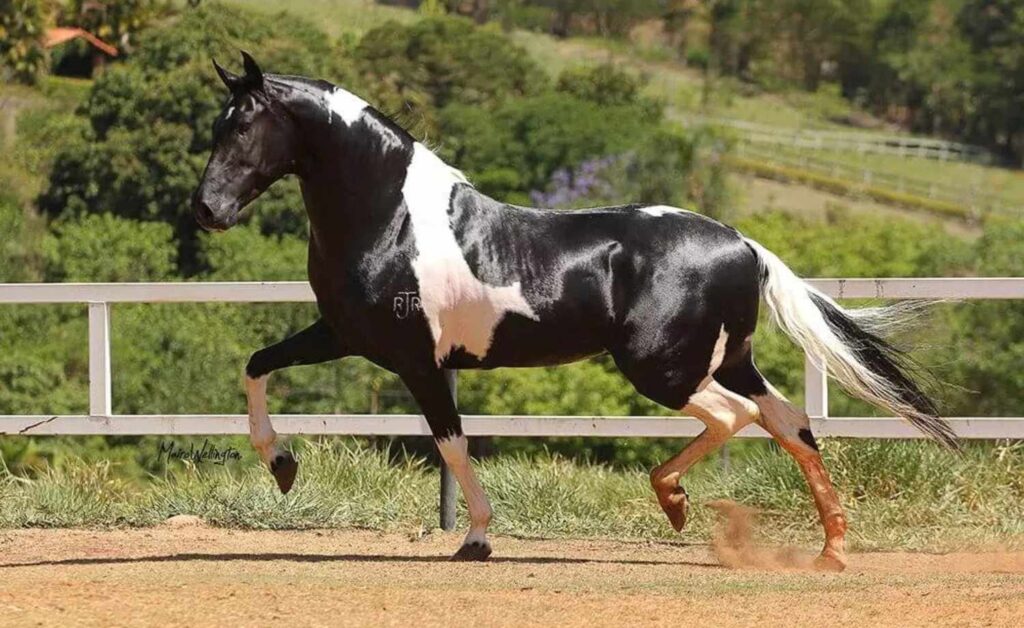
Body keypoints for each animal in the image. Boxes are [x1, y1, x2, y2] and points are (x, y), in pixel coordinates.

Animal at [192, 53, 955, 570]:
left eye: (244, 128)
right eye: (216, 127)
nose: (206, 210)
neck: (393, 218)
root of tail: (744, 243)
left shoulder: (415, 359)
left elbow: (451, 442)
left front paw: (477, 539)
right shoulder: (343, 334)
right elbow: (256, 365)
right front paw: (281, 466)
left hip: (663, 369)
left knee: (735, 418)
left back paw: (676, 503)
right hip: (727, 360)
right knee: (791, 423)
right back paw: (830, 550)